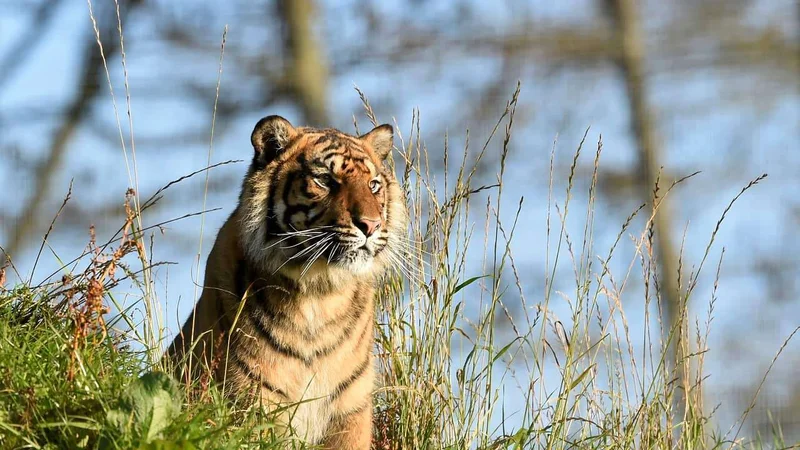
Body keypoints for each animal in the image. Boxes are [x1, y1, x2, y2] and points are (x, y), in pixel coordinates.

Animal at [166, 115, 406, 448]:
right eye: (325, 180)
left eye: (374, 185)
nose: (371, 226)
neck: (321, 293)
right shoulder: (255, 403)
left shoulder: (350, 409)